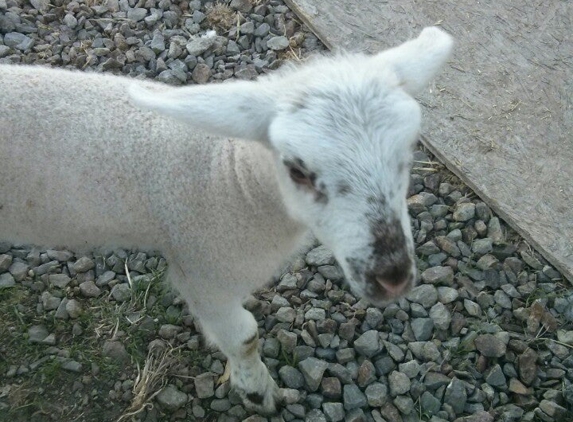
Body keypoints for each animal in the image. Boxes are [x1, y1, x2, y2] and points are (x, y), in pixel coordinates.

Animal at [1, 25, 452, 412]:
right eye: (298, 170)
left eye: (410, 150)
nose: (393, 277)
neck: (228, 174)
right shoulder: (205, 275)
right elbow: (246, 337)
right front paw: (257, 391)